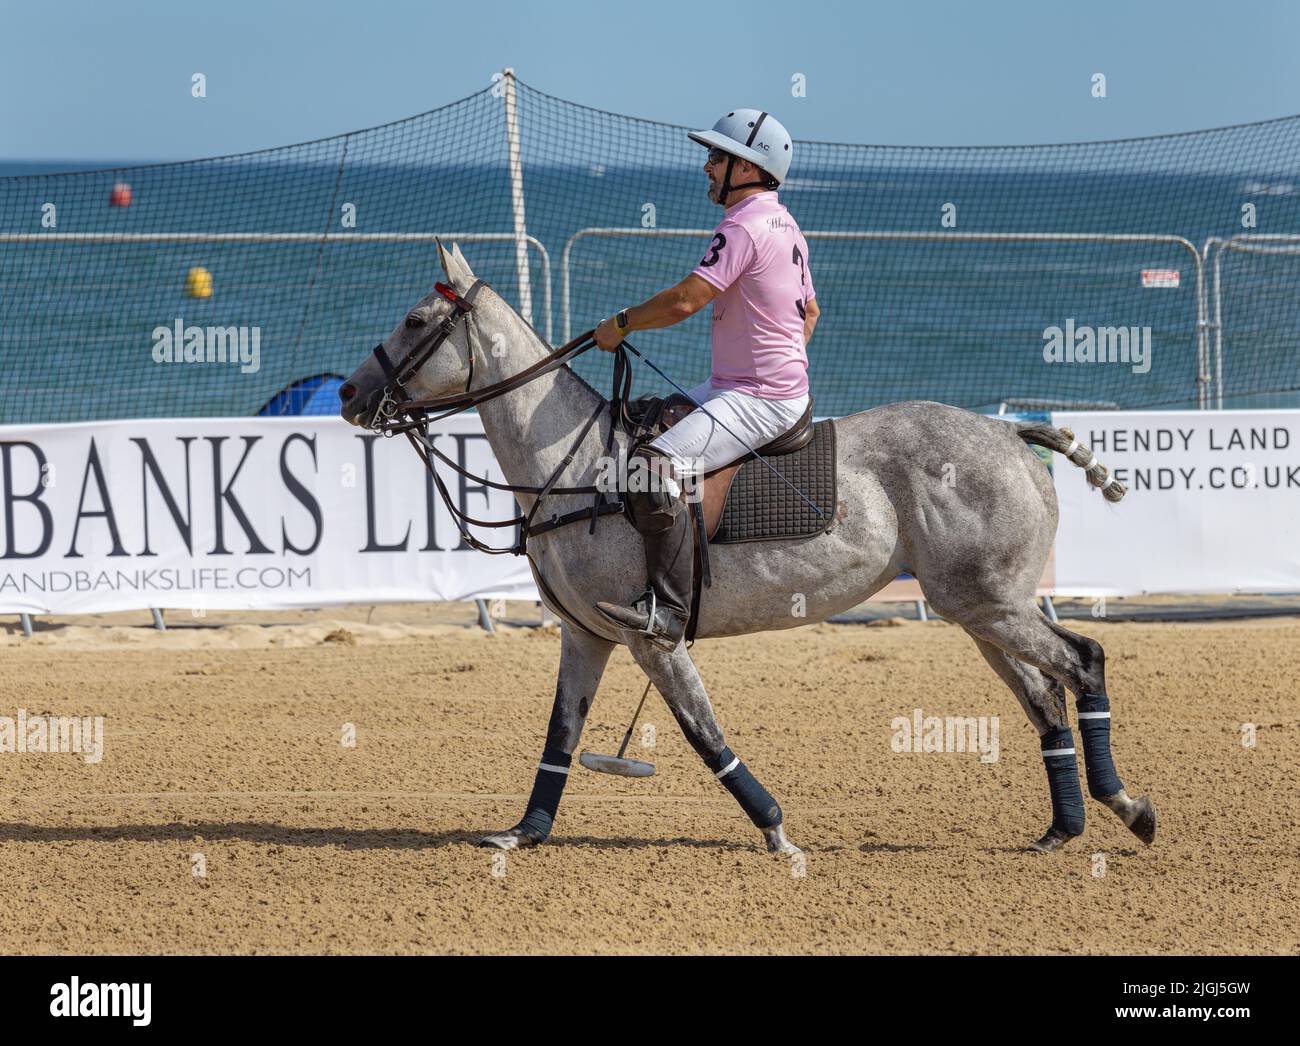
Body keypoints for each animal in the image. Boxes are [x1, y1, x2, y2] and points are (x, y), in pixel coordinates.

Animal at [340, 242, 1154, 857]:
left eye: (416, 319)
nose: (348, 395)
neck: (575, 468)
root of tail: (1011, 431)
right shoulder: (586, 635)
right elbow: (561, 733)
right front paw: (524, 833)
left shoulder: (651, 637)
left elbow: (704, 734)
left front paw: (777, 832)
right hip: (979, 608)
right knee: (1044, 693)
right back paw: (1064, 827)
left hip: (989, 602)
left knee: (1083, 661)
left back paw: (1126, 806)